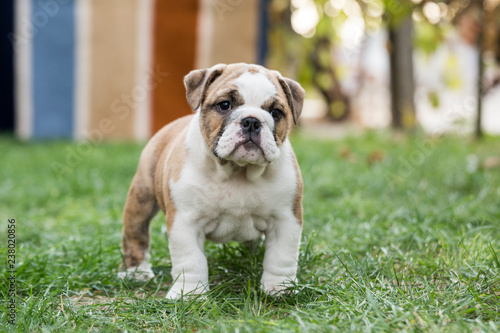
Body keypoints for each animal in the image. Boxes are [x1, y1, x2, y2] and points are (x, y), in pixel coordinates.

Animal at [118, 62, 304, 298]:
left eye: (276, 112)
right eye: (224, 105)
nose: (251, 121)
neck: (238, 171)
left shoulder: (285, 220)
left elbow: (281, 257)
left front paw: (279, 288)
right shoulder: (185, 221)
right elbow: (190, 260)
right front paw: (189, 293)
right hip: (141, 198)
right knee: (136, 234)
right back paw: (135, 273)